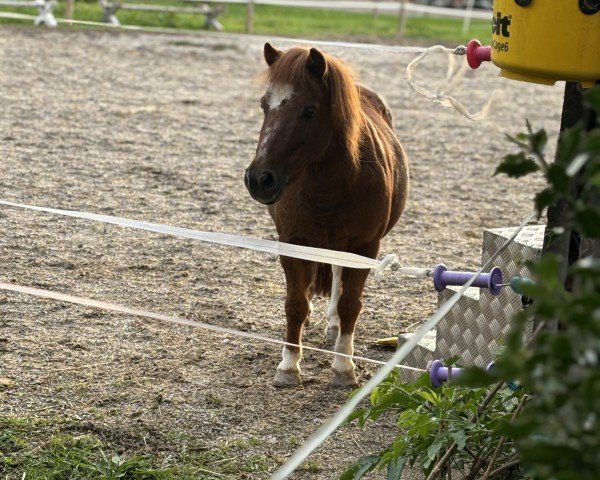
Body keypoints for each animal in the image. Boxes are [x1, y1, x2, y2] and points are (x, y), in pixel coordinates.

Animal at [246, 43, 410, 388]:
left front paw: (343, 367)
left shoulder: (365, 247)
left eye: (309, 110)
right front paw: (288, 366)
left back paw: (334, 327)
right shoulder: (292, 243)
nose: (259, 179)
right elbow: (294, 304)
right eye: (265, 105)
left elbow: (350, 305)